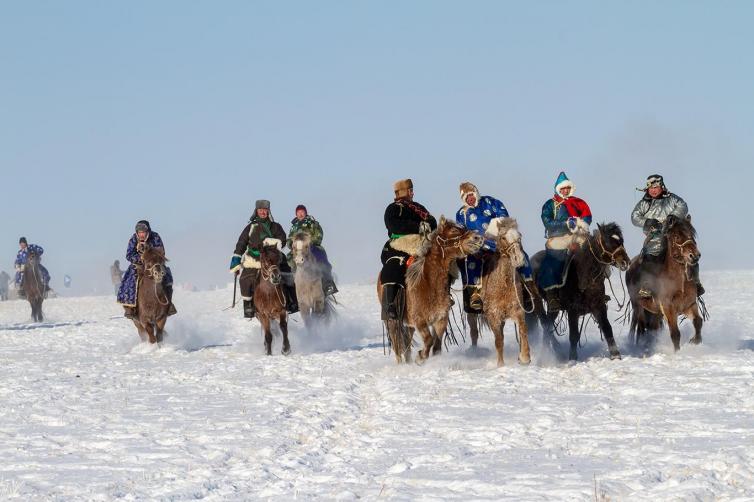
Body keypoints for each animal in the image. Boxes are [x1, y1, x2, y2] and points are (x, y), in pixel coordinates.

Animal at [376, 218, 482, 362]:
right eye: (454, 230)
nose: (477, 237)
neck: (428, 285)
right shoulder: (420, 321)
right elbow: (428, 340)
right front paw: (420, 357)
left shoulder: (440, 320)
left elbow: (436, 346)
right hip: (392, 322)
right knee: (397, 347)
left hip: (408, 325)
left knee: (407, 345)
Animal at [468, 218, 532, 366]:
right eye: (503, 237)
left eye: (519, 236)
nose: (519, 258)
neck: (504, 285)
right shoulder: (493, 316)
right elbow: (498, 341)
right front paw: (500, 365)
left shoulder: (518, 311)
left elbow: (523, 330)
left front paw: (524, 357)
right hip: (471, 314)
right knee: (474, 332)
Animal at [528, 223, 628, 360]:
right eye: (608, 242)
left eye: (621, 241)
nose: (626, 262)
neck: (584, 275)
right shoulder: (573, 310)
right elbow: (574, 335)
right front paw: (573, 358)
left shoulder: (599, 306)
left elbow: (607, 328)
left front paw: (615, 355)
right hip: (537, 302)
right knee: (545, 324)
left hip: (553, 308)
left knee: (548, 325)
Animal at [624, 214, 700, 352]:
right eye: (677, 236)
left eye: (692, 234)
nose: (694, 256)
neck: (678, 280)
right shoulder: (668, 307)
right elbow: (675, 333)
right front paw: (677, 353)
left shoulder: (689, 304)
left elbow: (698, 322)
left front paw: (695, 341)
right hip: (638, 306)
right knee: (640, 327)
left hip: (655, 312)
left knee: (652, 328)